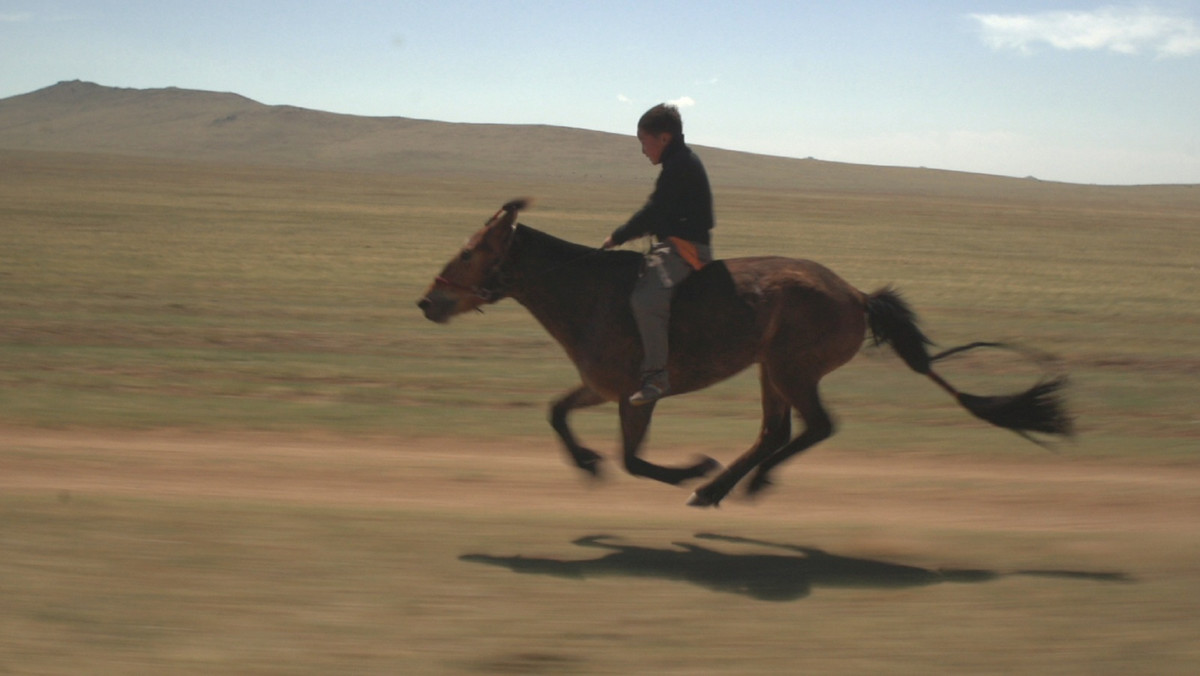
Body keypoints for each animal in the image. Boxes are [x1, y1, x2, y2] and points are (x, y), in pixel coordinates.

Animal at [417, 198, 1075, 504]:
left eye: (471, 251)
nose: (427, 301)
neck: (586, 290)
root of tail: (856, 294)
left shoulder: (636, 394)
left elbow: (633, 460)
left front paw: (690, 467)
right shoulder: (601, 387)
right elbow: (556, 413)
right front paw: (586, 464)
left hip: (791, 368)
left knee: (815, 426)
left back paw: (729, 485)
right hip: (770, 370)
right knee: (775, 432)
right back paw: (723, 489)